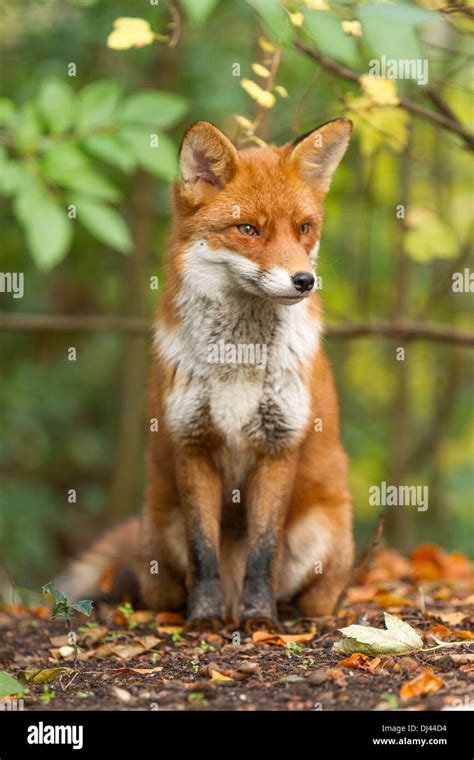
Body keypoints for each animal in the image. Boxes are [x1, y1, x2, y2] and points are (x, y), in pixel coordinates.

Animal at [58, 120, 352, 628]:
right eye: (248, 229)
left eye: (304, 228)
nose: (304, 281)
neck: (238, 361)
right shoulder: (191, 441)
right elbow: (203, 551)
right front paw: (204, 617)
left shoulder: (279, 445)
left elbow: (263, 552)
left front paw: (260, 617)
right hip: (159, 533)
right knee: (156, 589)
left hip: (323, 535)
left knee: (309, 596)